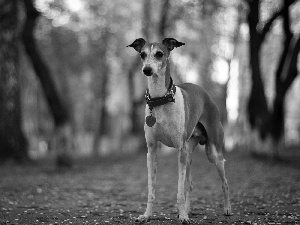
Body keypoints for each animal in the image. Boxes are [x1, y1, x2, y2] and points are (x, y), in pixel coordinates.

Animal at [126, 37, 232, 222]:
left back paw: (226, 209)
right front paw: (147, 215)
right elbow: (152, 189)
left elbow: (179, 191)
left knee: (224, 182)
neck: (160, 100)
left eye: (159, 54)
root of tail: (204, 93)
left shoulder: (179, 151)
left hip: (212, 153)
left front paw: (182, 216)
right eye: (142, 54)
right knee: (189, 184)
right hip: (188, 154)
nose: (147, 70)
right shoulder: (152, 151)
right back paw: (188, 210)